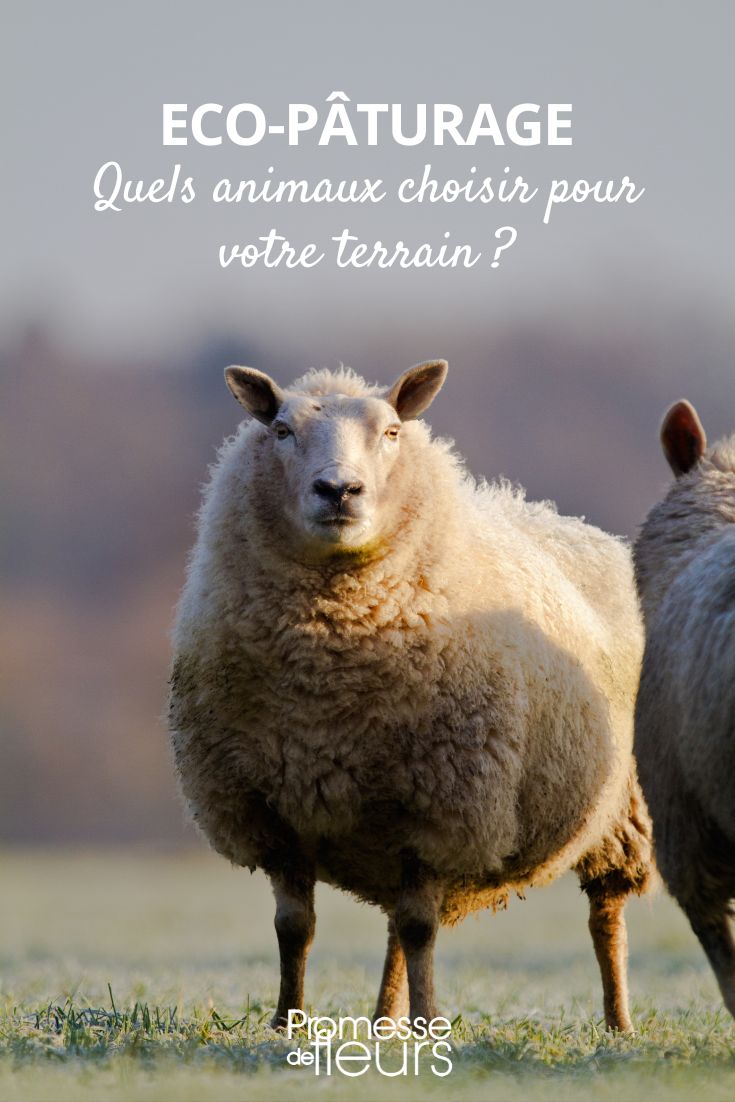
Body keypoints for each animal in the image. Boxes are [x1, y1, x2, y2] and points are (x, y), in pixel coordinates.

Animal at [169, 361, 652, 1031]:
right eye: (282, 429)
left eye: (393, 431)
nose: (339, 490)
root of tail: (569, 522)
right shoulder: (276, 810)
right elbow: (294, 928)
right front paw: (286, 1022)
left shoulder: (441, 805)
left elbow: (422, 928)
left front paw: (429, 1023)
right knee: (396, 926)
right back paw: (382, 1020)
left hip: (619, 808)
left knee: (605, 915)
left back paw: (617, 1022)